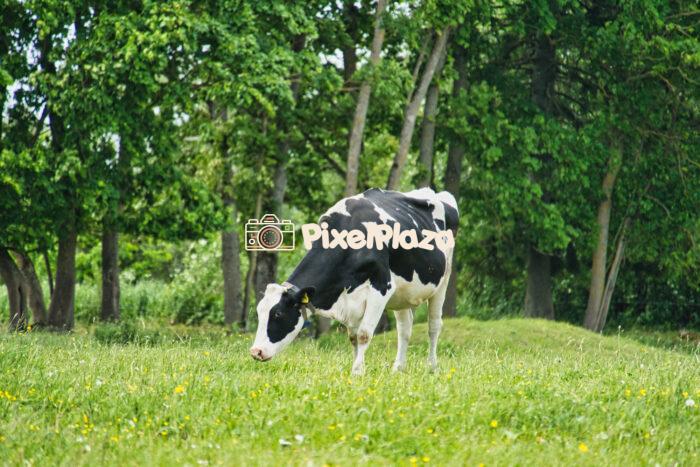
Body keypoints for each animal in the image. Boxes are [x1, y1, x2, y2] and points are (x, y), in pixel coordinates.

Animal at [249, 187, 459, 375]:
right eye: (259, 313)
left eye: (278, 314)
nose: (255, 351)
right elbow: (353, 337)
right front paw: (358, 367)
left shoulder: (381, 287)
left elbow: (364, 334)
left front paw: (357, 371)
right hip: (403, 292)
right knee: (404, 329)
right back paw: (398, 369)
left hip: (444, 279)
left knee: (434, 326)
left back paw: (432, 367)